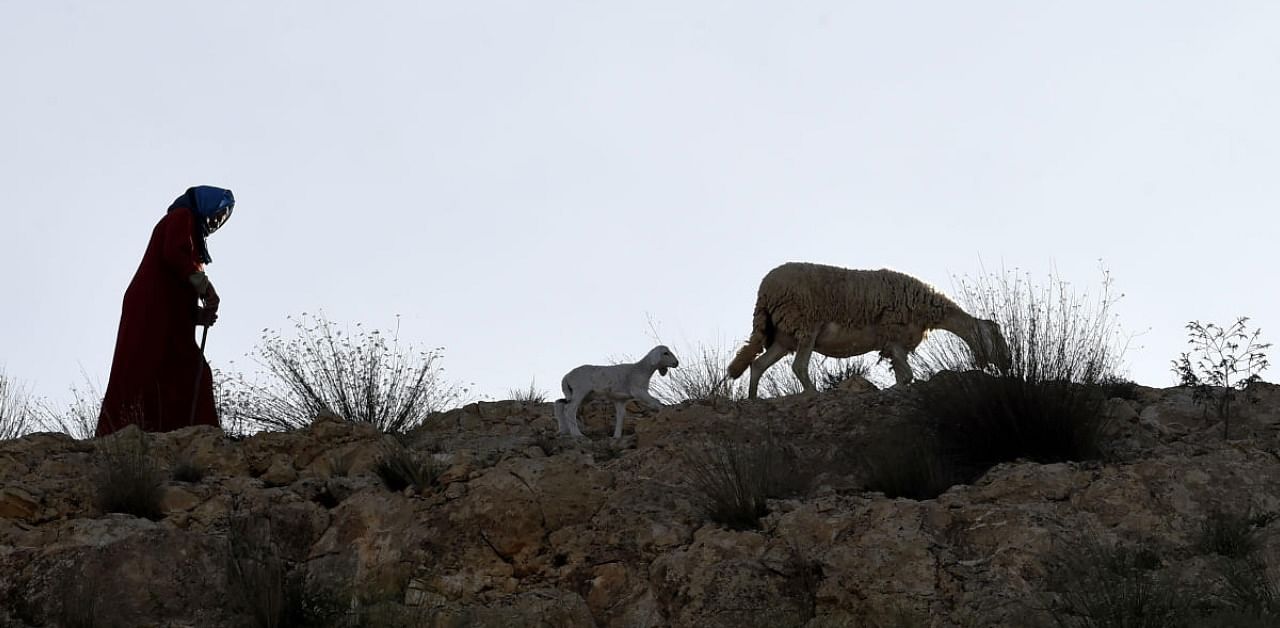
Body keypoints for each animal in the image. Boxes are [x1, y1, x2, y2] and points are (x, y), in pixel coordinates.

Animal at [555, 345, 686, 439]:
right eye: (665, 353)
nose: (676, 363)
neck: (641, 369)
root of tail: (566, 377)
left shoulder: (620, 400)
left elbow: (620, 416)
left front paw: (616, 436)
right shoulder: (638, 391)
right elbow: (655, 402)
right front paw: (663, 412)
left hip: (584, 395)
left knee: (560, 404)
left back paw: (563, 430)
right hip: (580, 390)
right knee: (570, 409)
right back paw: (577, 434)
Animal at [732, 263, 1008, 401]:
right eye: (996, 338)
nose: (1005, 364)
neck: (927, 310)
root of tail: (765, 291)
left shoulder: (894, 343)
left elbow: (903, 376)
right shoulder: (894, 335)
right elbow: (907, 376)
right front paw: (893, 391)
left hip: (783, 336)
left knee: (758, 365)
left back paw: (752, 399)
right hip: (806, 325)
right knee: (798, 366)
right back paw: (812, 394)